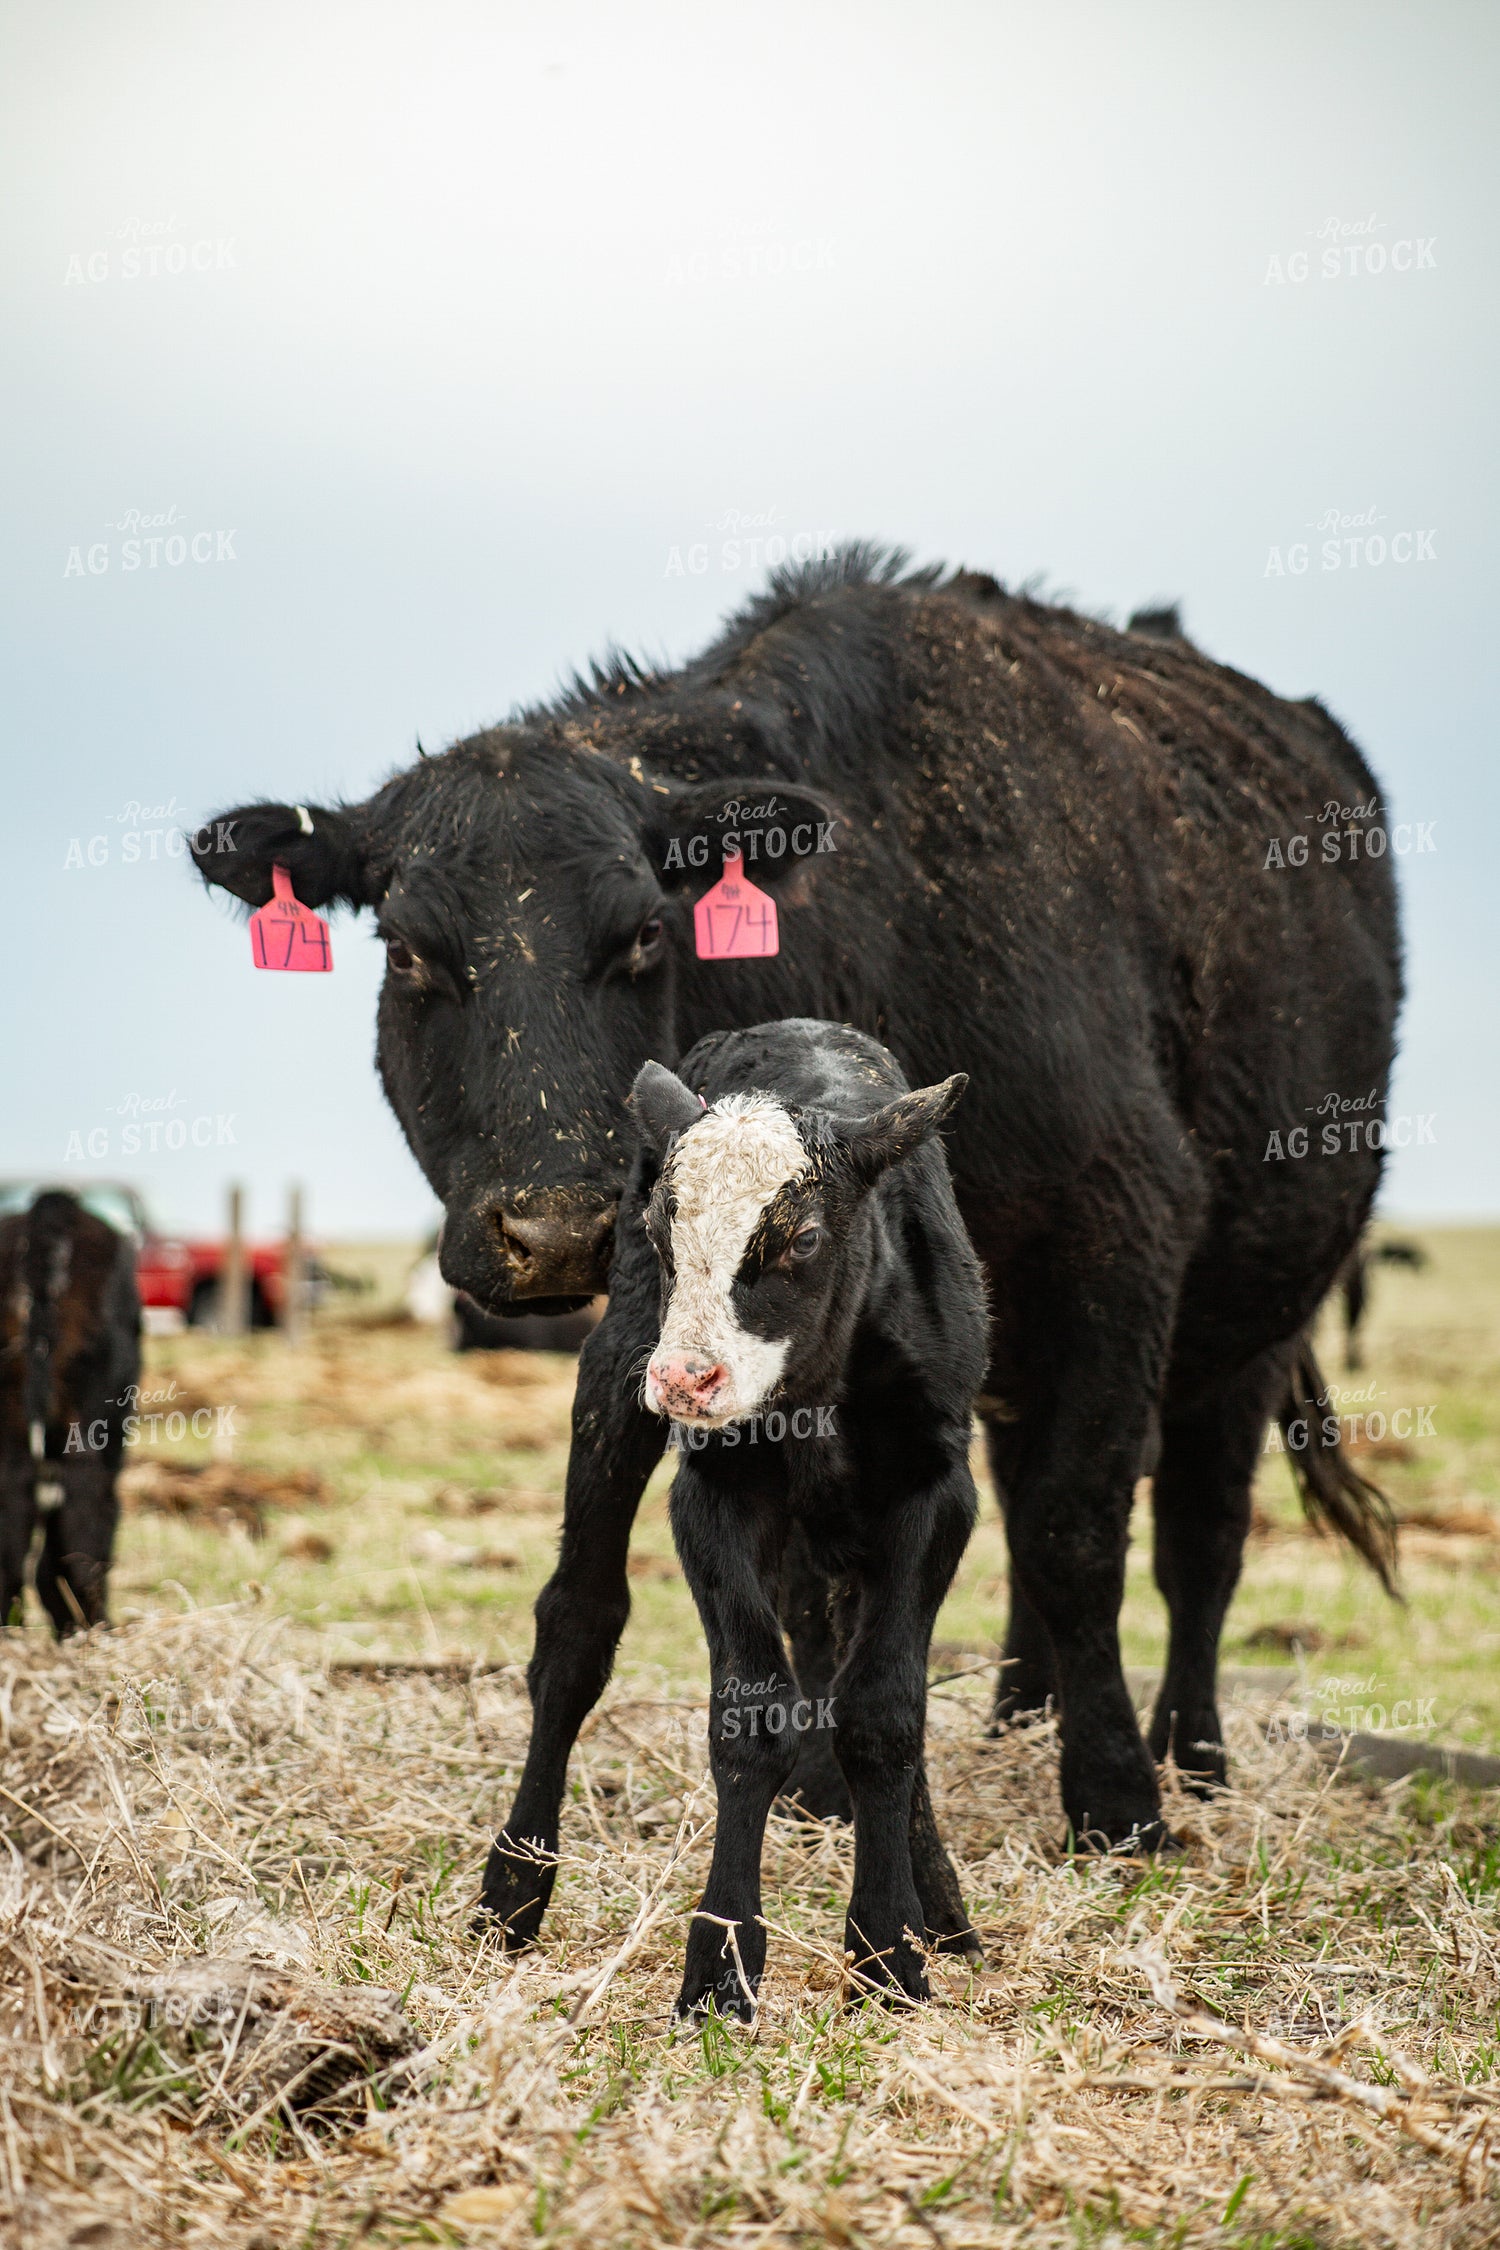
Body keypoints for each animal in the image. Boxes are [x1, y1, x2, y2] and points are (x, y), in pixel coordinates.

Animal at [625, 1021, 986, 2014]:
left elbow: (885, 1713)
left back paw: (941, 1913)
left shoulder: (937, 1493)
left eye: (805, 1238)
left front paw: (889, 1948)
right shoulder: (711, 1496)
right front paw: (720, 1964)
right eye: (657, 1231)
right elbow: (751, 1718)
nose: (682, 1380)